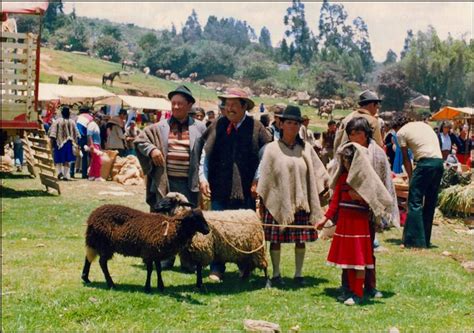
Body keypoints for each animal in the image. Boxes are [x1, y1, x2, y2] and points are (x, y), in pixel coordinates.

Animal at [80, 204, 210, 292]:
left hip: (96, 242)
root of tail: (92, 216)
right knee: (102, 263)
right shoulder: (149, 252)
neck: (170, 230)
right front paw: (147, 287)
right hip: (104, 244)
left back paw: (86, 278)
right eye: (193, 219)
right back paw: (111, 284)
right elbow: (150, 270)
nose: (207, 230)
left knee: (88, 258)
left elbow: (158, 269)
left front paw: (160, 286)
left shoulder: (157, 252)